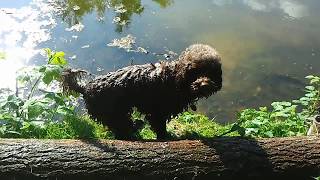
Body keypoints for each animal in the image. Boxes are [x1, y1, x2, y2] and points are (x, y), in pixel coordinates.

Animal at [62, 44, 222, 140]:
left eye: (211, 71)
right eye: (195, 71)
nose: (204, 85)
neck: (176, 79)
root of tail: (85, 88)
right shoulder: (158, 112)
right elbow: (160, 128)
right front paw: (166, 137)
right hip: (115, 114)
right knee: (122, 130)